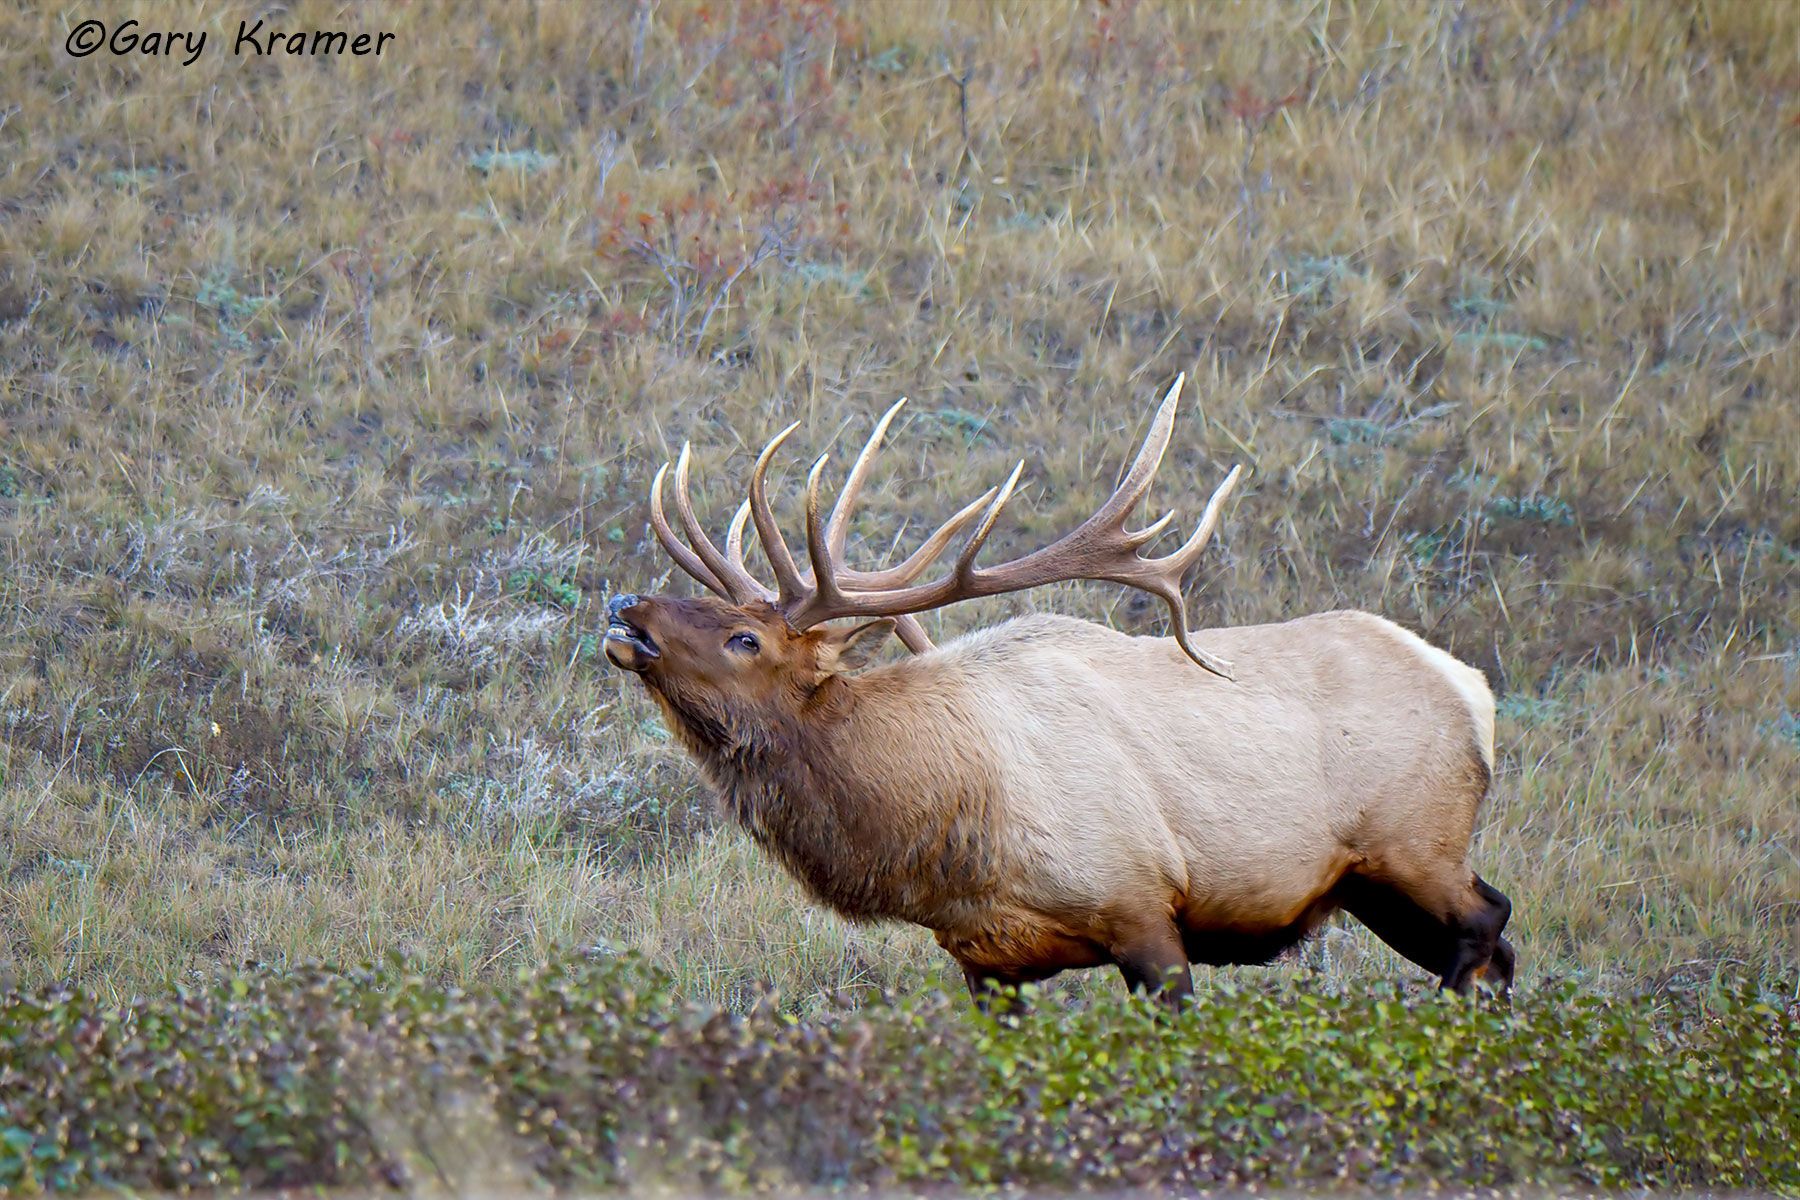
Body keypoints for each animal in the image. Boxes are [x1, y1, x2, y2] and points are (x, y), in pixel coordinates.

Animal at [602, 376, 1515, 1009]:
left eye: (744, 638)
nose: (626, 610)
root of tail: (1472, 690)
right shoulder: (982, 960)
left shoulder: (1142, 906)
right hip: (1370, 885)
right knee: (1496, 942)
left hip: (1415, 842)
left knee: (1488, 925)